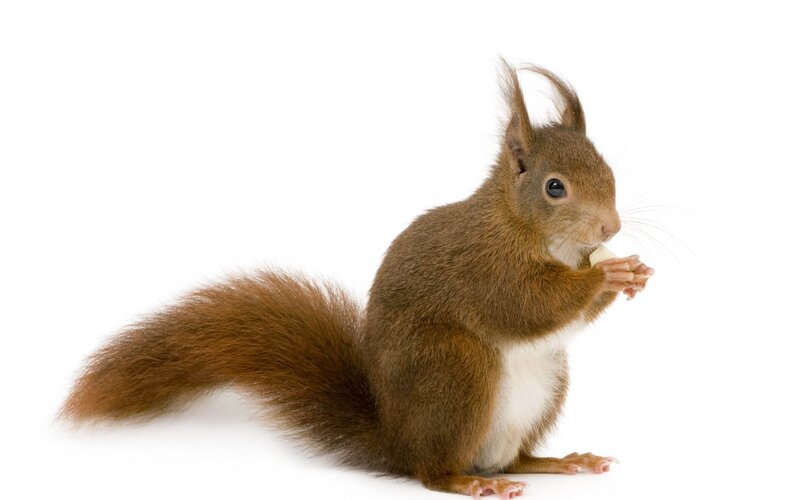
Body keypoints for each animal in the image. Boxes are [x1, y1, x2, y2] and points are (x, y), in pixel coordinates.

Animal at [62, 60, 654, 499]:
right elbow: (527, 305)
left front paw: (632, 273)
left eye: (607, 170)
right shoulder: (484, 267)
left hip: (545, 385)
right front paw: (608, 272)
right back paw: (466, 480)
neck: (526, 228)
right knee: (433, 471)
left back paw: (559, 461)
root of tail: (396, 439)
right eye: (555, 187)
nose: (611, 228)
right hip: (455, 369)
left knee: (515, 457)